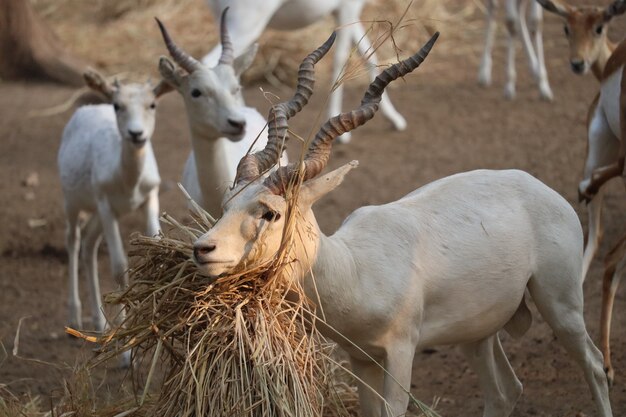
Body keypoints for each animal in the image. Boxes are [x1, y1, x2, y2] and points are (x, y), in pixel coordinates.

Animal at [58, 70, 171, 346]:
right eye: (117, 105)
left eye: (152, 104)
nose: (136, 133)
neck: (128, 184)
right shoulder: (105, 202)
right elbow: (119, 267)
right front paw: (125, 347)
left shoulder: (151, 196)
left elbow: (156, 249)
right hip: (72, 200)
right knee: (73, 239)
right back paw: (75, 319)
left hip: (97, 214)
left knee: (89, 242)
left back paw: (99, 325)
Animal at [197, 0, 408, 144]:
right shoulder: (347, 8)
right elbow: (341, 61)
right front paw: (342, 132)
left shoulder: (348, 13)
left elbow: (369, 56)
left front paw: (395, 119)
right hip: (246, 26)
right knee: (210, 61)